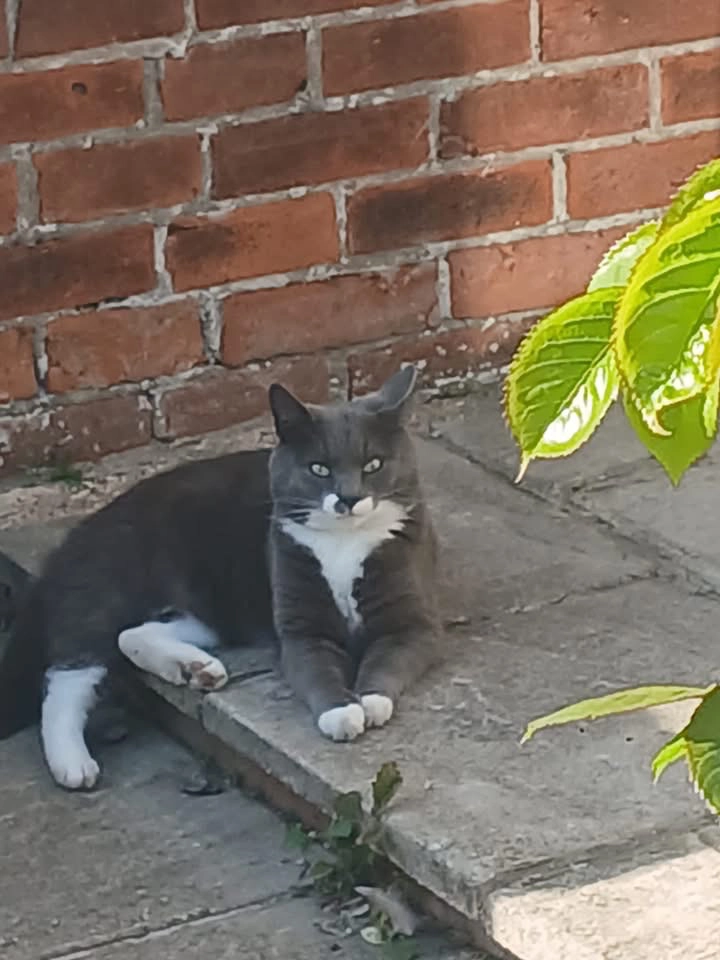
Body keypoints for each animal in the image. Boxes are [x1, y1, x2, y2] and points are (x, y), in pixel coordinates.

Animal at [0, 365, 441, 790]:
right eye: (319, 468)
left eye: (373, 464)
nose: (348, 498)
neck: (345, 544)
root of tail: (74, 541)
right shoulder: (299, 626)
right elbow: (314, 668)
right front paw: (341, 712)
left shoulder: (413, 622)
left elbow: (391, 657)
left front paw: (370, 701)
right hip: (109, 587)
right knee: (69, 674)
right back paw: (73, 765)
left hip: (211, 608)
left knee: (131, 634)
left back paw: (196, 669)